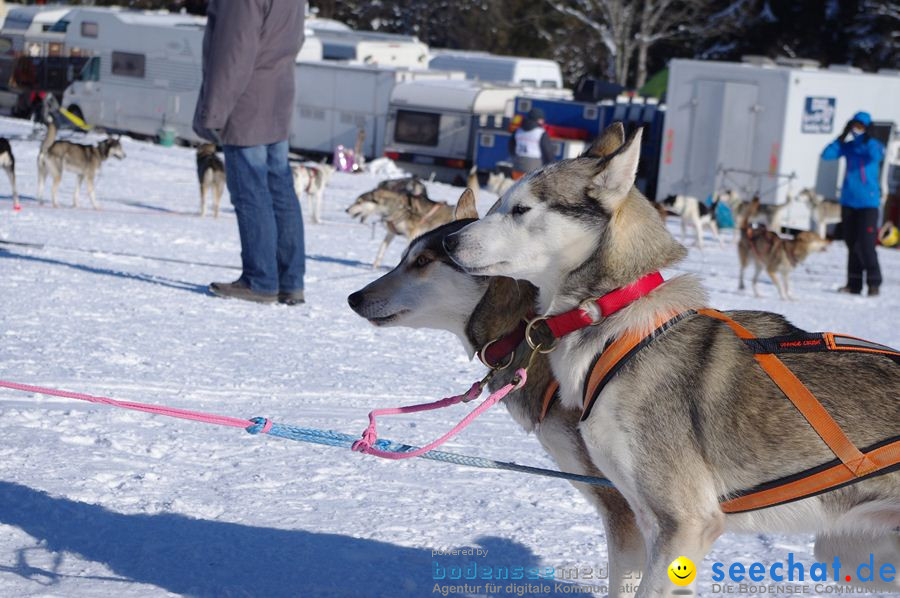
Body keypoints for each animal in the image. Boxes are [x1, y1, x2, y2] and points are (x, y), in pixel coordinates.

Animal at [444, 123, 900, 598]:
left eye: (520, 209)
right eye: (497, 203)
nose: (447, 239)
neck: (614, 319)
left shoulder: (683, 524)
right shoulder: (649, 522)